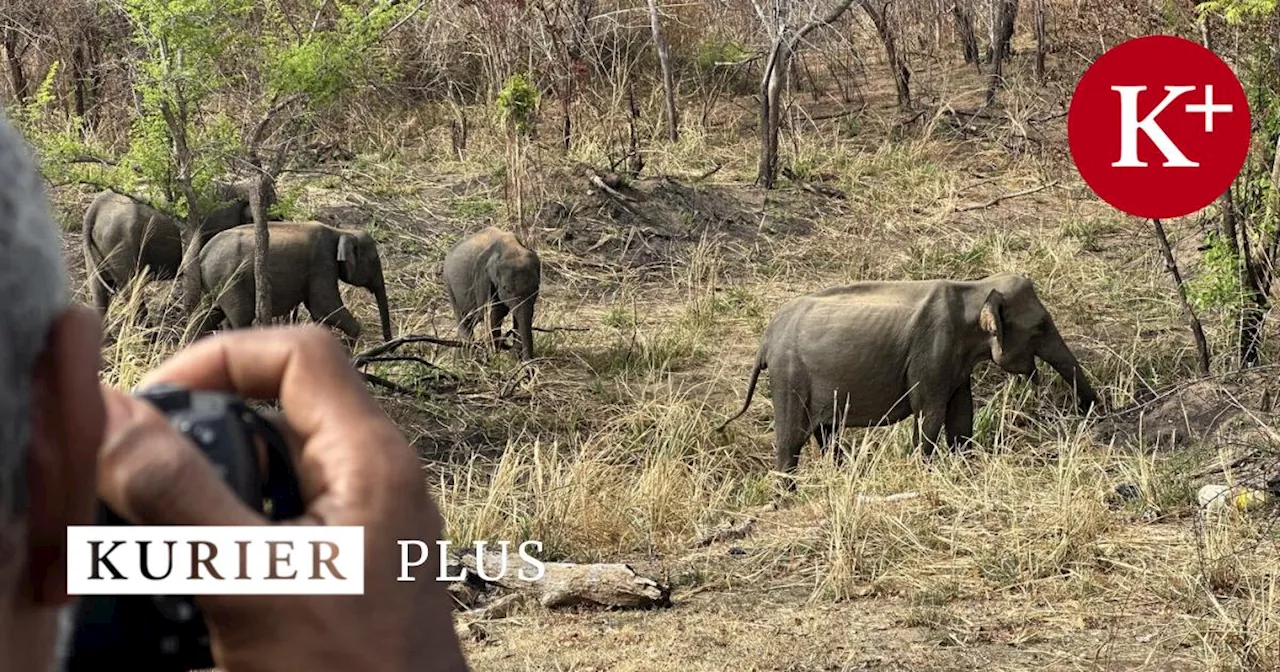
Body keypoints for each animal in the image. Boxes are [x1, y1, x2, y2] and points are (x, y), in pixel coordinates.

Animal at [186, 220, 391, 345]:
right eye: (374, 260)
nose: (388, 343)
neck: (341, 231)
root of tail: (203, 252)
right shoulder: (321, 264)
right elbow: (324, 307)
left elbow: (320, 313)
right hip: (230, 279)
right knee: (239, 318)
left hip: (214, 280)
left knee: (206, 314)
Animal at [442, 225, 542, 360]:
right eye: (506, 289)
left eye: (536, 287)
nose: (528, 361)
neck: (512, 247)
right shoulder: (483, 278)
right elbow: (493, 313)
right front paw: (495, 357)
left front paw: (513, 356)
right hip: (449, 284)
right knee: (463, 319)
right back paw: (469, 353)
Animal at [721, 270, 1100, 478]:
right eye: (1040, 326)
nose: (1092, 412)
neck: (975, 288)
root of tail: (767, 337)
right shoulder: (932, 352)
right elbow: (929, 413)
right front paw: (927, 469)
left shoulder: (954, 363)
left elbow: (961, 414)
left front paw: (965, 467)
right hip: (789, 375)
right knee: (791, 439)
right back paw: (787, 495)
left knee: (825, 433)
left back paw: (844, 473)